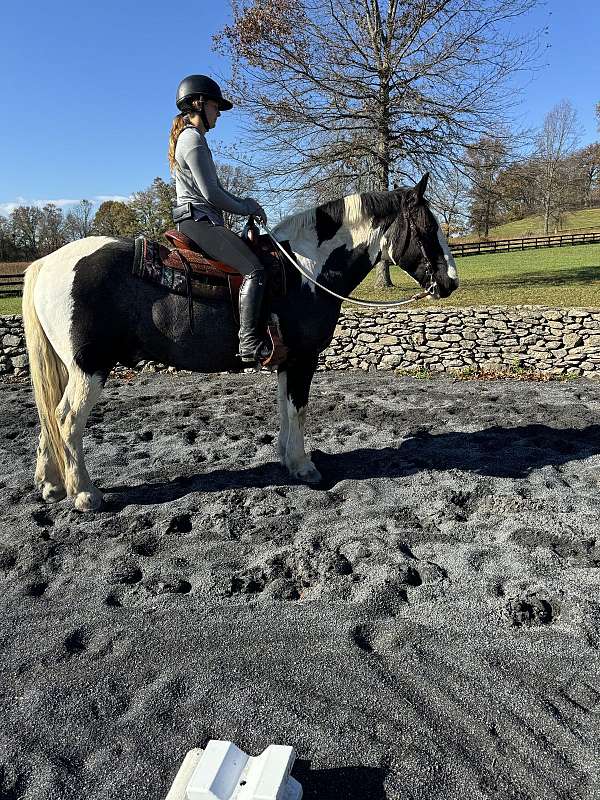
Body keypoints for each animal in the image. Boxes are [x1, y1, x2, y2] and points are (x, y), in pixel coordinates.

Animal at [21, 175, 458, 512]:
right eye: (426, 229)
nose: (450, 281)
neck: (305, 270)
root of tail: (47, 262)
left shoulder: (287, 361)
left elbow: (284, 408)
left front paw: (287, 459)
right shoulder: (303, 360)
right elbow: (298, 409)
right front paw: (305, 467)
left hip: (70, 369)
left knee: (48, 416)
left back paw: (51, 486)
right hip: (89, 368)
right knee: (65, 418)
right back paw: (85, 494)